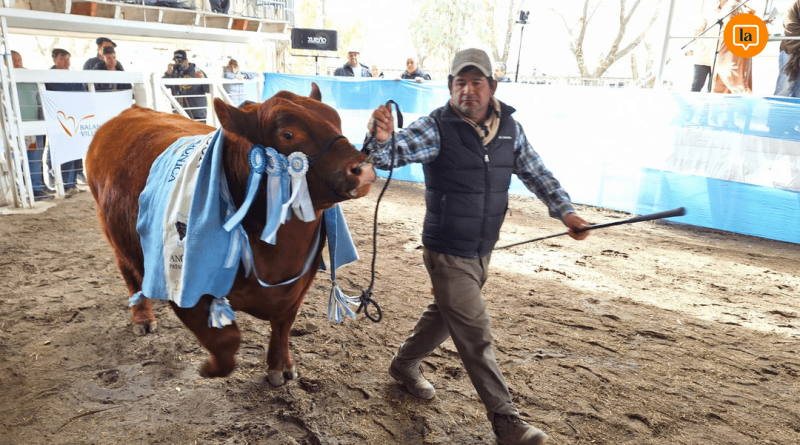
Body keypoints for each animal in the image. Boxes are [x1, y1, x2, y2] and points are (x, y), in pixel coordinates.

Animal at [85, 84, 376, 385]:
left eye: (337, 120)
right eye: (288, 134)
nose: (363, 168)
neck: (277, 255)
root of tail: (132, 111)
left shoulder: (299, 285)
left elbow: (283, 326)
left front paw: (281, 366)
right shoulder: (187, 286)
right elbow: (226, 340)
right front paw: (210, 368)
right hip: (112, 231)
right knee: (130, 274)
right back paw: (142, 317)